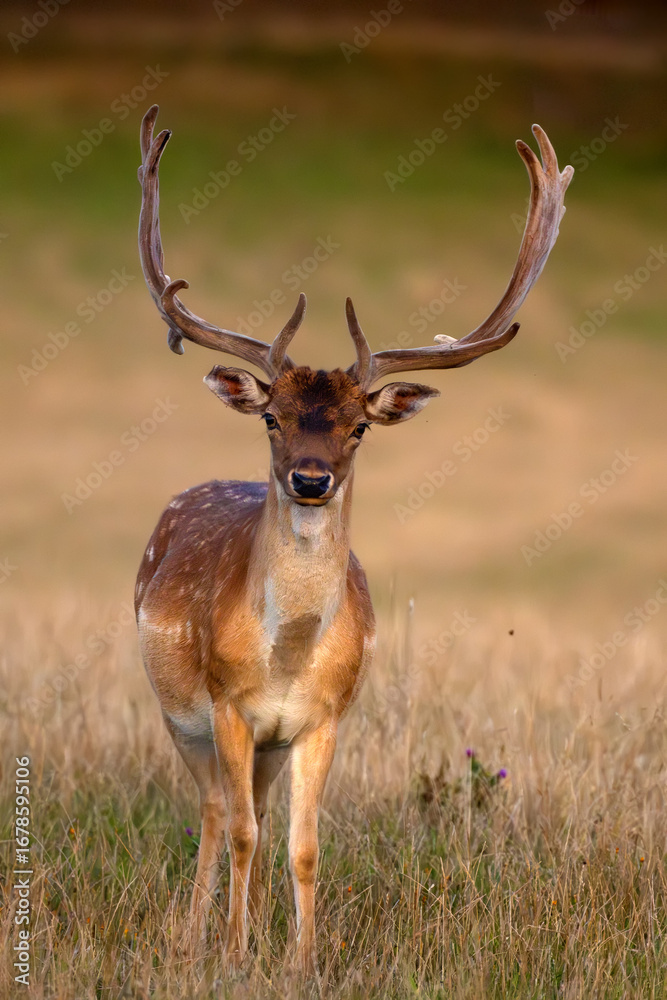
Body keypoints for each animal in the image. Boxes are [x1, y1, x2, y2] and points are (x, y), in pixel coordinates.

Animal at [134, 104, 573, 975]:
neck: (287, 654)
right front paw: (234, 956)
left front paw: (299, 961)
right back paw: (195, 937)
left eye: (359, 427)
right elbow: (243, 832)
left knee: (249, 811)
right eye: (272, 417)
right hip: (179, 711)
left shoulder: (324, 717)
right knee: (215, 809)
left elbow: (300, 845)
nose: (309, 479)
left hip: (265, 743)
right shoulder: (226, 705)